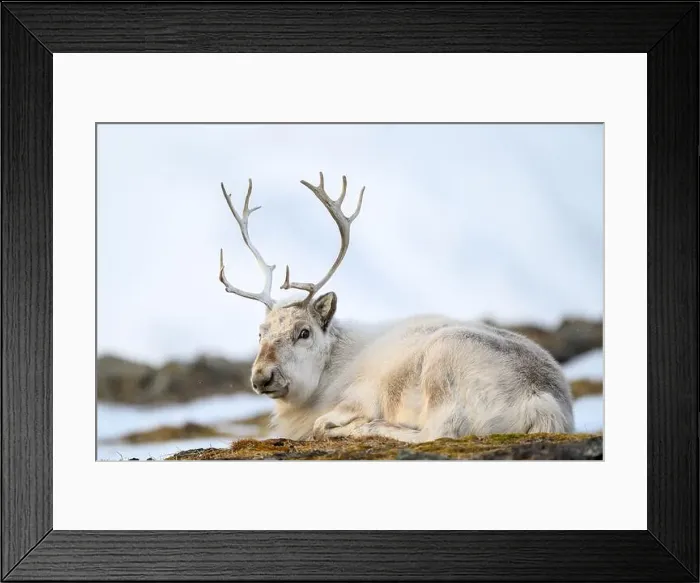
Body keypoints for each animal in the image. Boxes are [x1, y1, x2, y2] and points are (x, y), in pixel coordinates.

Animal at [217, 173, 575, 442]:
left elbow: (324, 422)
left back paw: (368, 428)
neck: (327, 373)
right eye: (260, 332)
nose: (261, 376)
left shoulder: (356, 398)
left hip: (444, 361)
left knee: (437, 432)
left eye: (303, 332)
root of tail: (546, 404)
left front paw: (342, 425)